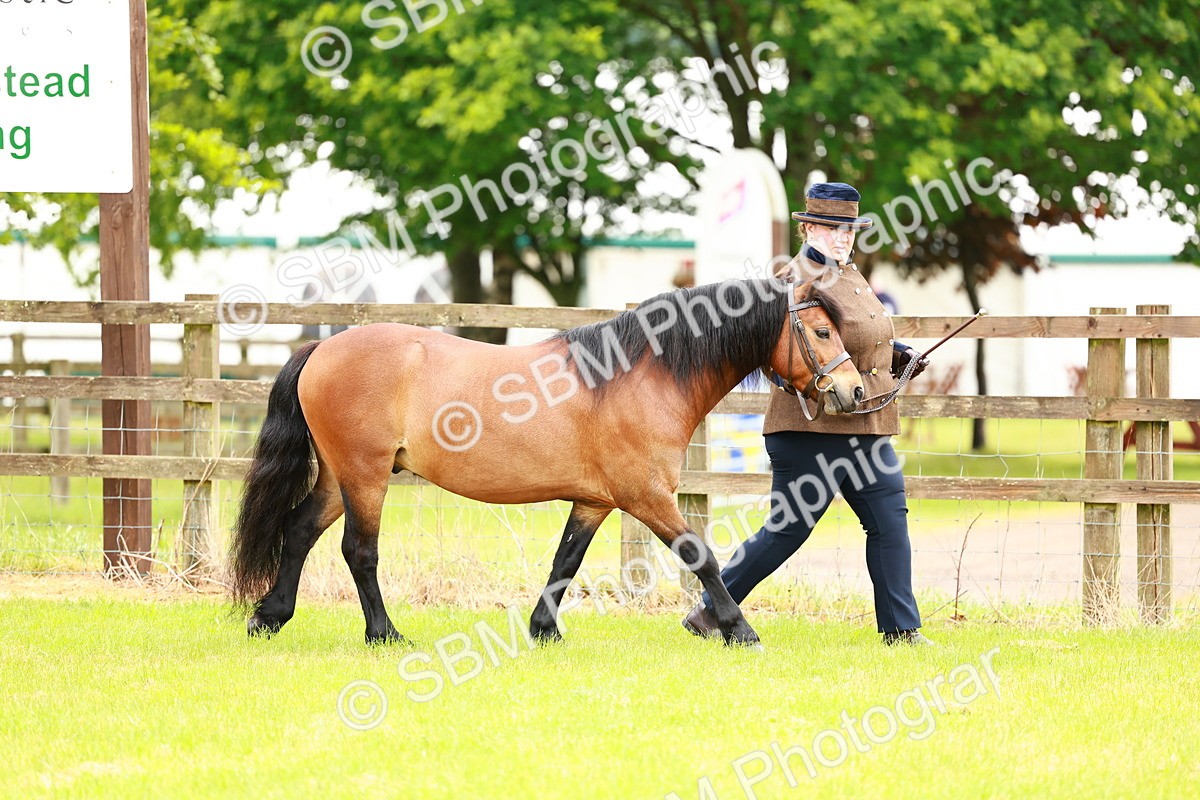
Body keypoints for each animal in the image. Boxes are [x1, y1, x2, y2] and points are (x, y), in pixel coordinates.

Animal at [229, 277, 864, 647]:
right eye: (822, 331)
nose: (854, 391)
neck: (640, 377)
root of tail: (322, 347)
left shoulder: (594, 500)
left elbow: (567, 560)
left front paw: (543, 628)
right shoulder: (647, 497)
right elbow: (702, 557)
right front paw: (739, 629)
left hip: (341, 477)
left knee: (299, 530)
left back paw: (269, 616)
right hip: (365, 477)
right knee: (359, 552)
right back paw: (384, 634)